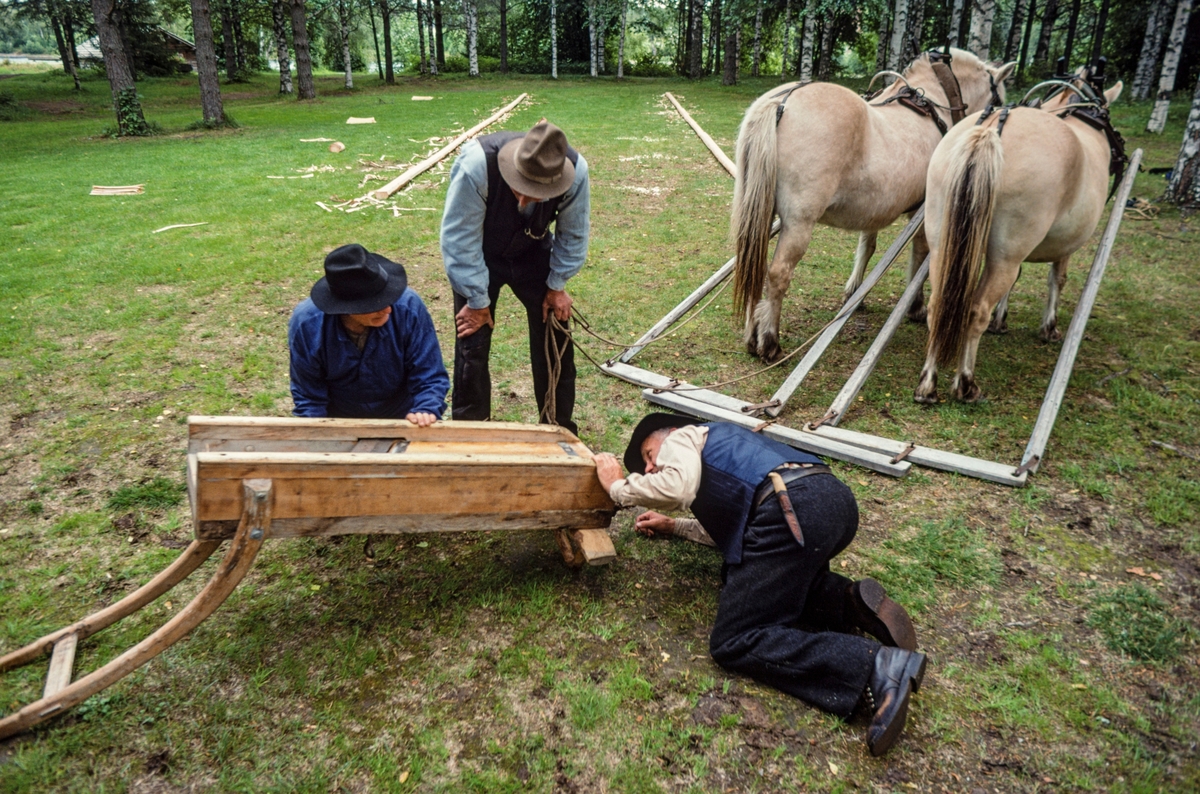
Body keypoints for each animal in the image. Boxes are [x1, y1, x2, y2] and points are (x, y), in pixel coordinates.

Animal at [729, 48, 1012, 359]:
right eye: (999, 101)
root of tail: (780, 102)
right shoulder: (922, 212)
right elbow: (919, 253)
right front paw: (915, 305)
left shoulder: (875, 208)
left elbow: (867, 246)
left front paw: (855, 291)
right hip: (798, 223)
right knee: (778, 273)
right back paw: (769, 341)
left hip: (760, 214)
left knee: (753, 266)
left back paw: (751, 335)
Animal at [916, 79, 1123, 405]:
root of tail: (990, 132)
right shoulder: (1065, 246)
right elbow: (1057, 279)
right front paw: (1049, 327)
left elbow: (1015, 282)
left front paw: (1001, 321)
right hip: (1006, 255)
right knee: (977, 310)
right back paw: (966, 384)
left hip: (943, 245)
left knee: (938, 306)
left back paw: (927, 386)